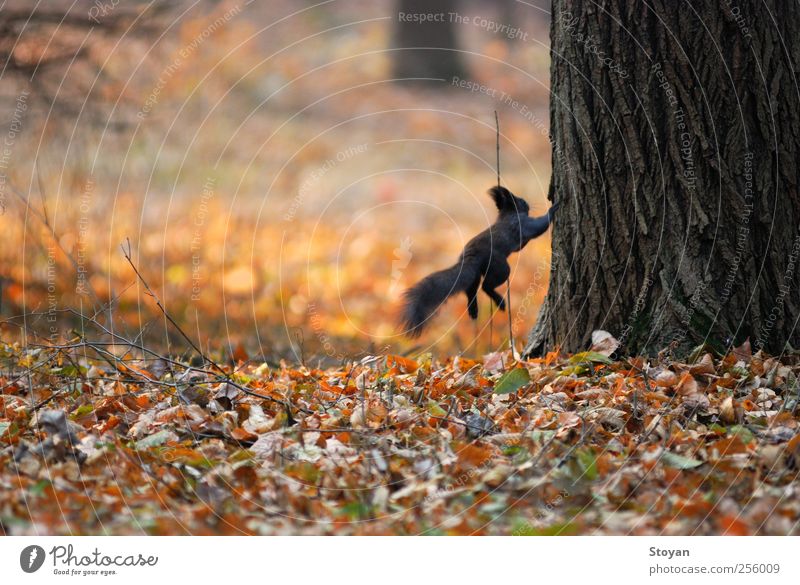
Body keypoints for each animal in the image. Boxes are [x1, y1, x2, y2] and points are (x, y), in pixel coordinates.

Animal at [398, 185, 556, 336]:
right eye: (521, 201)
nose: (529, 204)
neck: (508, 214)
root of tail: (470, 257)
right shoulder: (523, 224)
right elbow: (539, 226)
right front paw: (554, 207)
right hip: (499, 267)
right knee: (485, 286)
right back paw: (499, 302)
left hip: (476, 273)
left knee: (470, 290)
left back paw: (473, 310)